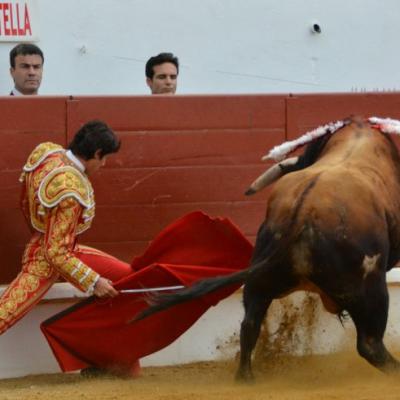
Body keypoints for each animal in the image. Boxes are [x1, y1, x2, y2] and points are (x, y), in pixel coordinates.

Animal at [135, 116, 400, 382]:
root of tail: (302, 213)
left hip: (260, 279)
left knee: (249, 325)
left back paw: (246, 378)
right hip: (368, 288)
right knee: (369, 344)